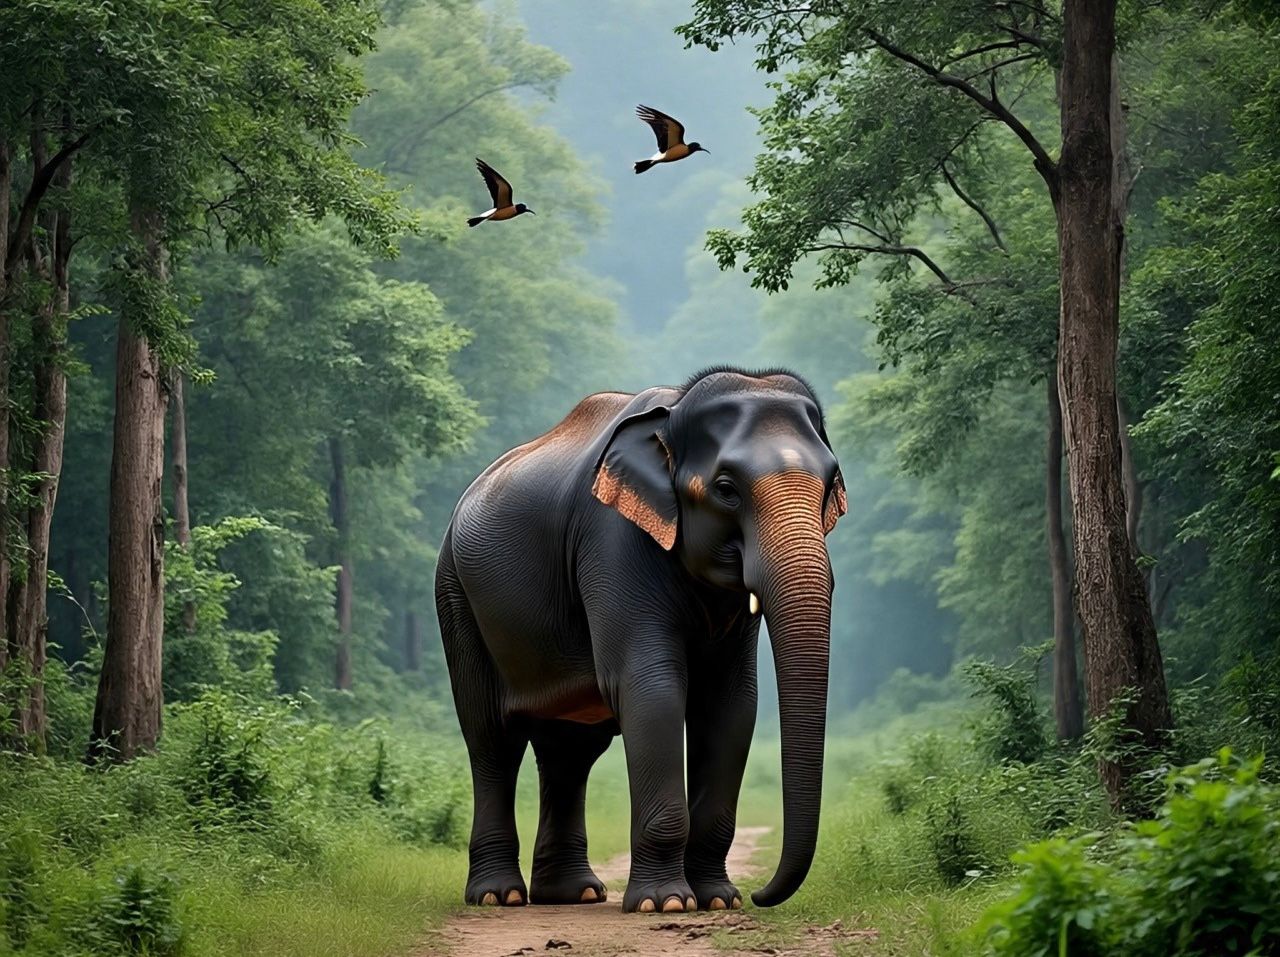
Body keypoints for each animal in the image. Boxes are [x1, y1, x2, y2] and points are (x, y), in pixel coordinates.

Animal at [435, 366, 846, 914]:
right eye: (726, 489)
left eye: (829, 486)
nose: (760, 895)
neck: (673, 415)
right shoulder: (612, 540)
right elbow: (651, 688)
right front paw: (666, 903)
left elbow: (731, 704)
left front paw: (717, 900)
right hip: (455, 594)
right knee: (491, 738)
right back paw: (499, 896)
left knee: (570, 750)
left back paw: (574, 894)